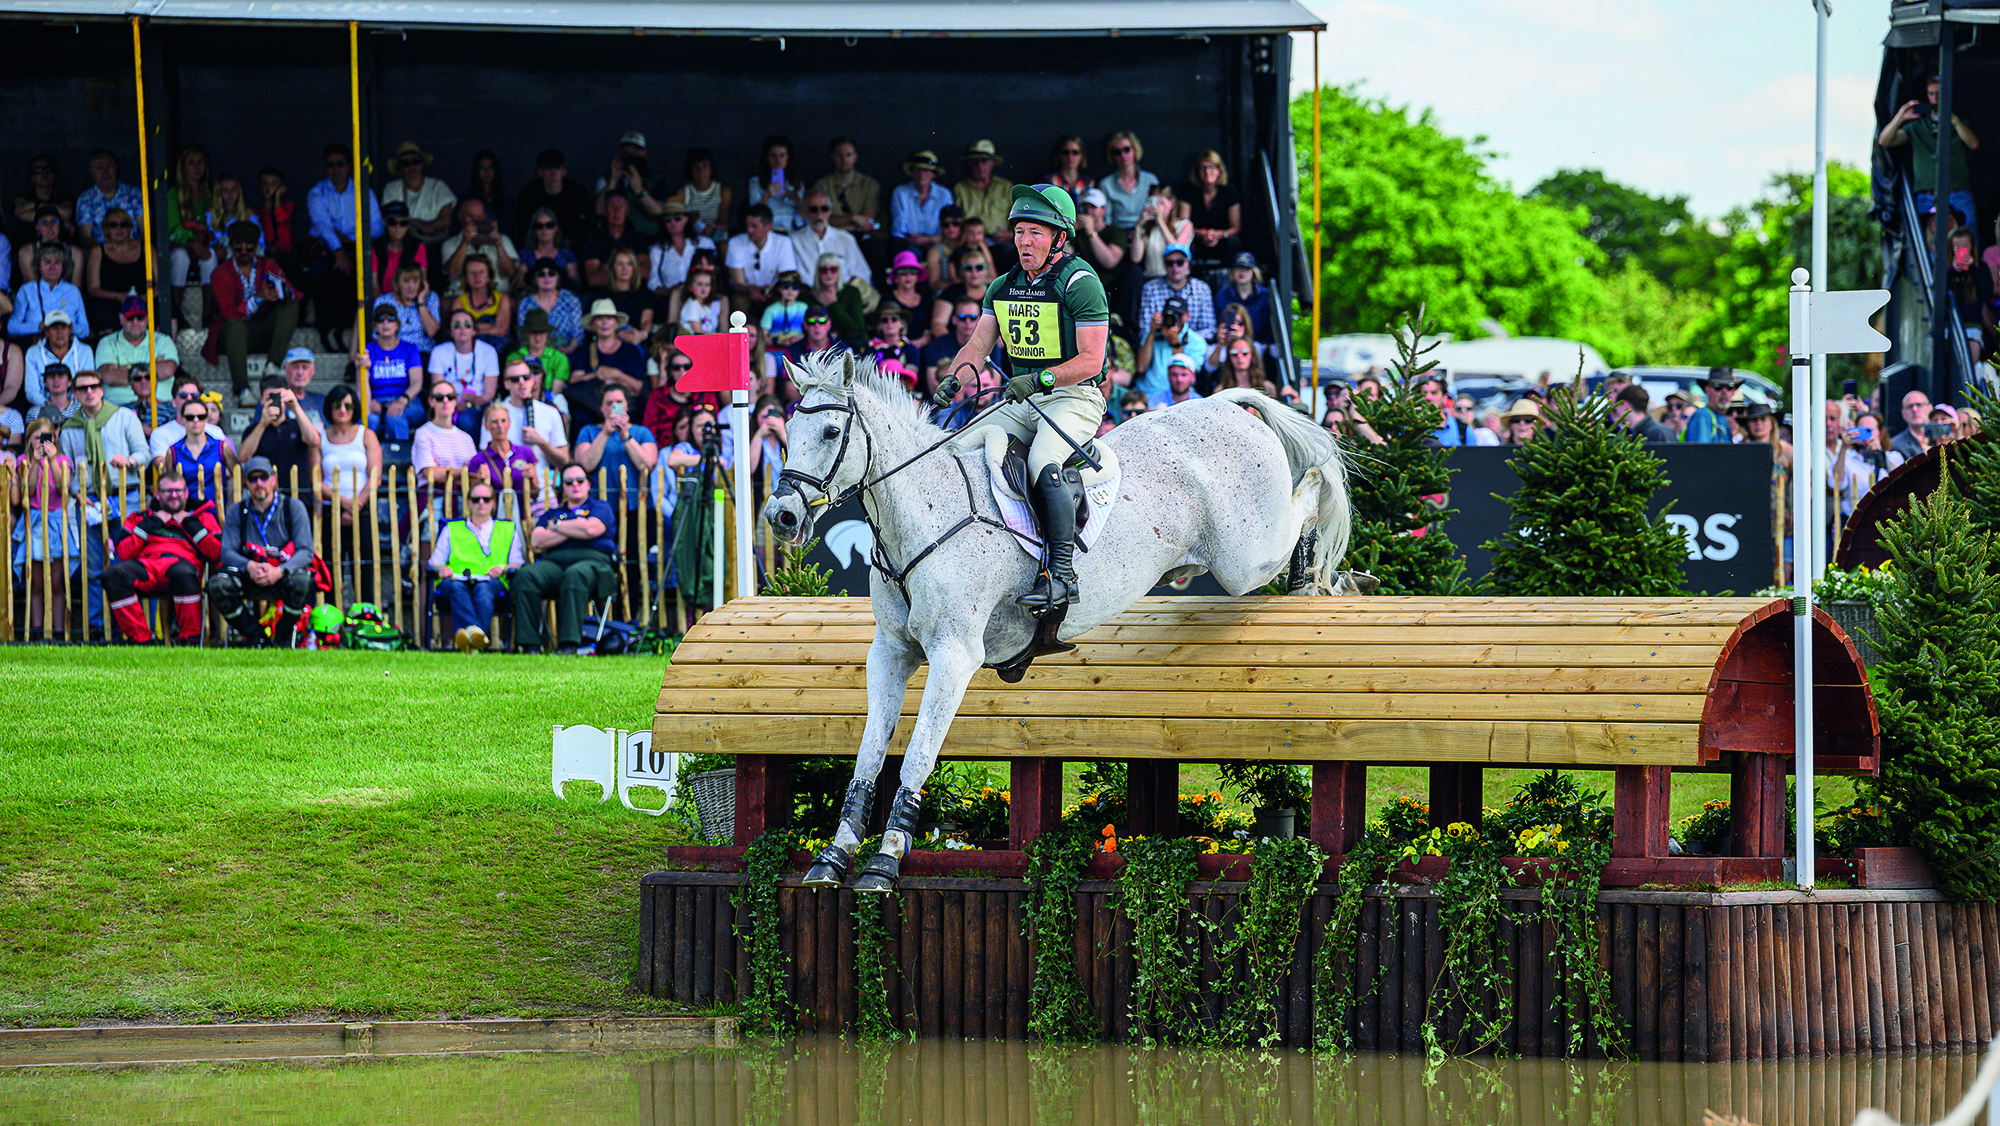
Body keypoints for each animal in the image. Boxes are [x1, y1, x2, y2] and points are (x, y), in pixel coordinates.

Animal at [760, 350, 1352, 892]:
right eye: (788, 430)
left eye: (831, 430)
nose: (781, 517)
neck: (921, 515)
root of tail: (1223, 404)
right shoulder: (889, 651)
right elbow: (868, 757)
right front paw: (833, 857)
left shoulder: (954, 655)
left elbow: (918, 756)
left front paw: (884, 862)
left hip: (1244, 559)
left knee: (1310, 490)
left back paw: (1317, 573)